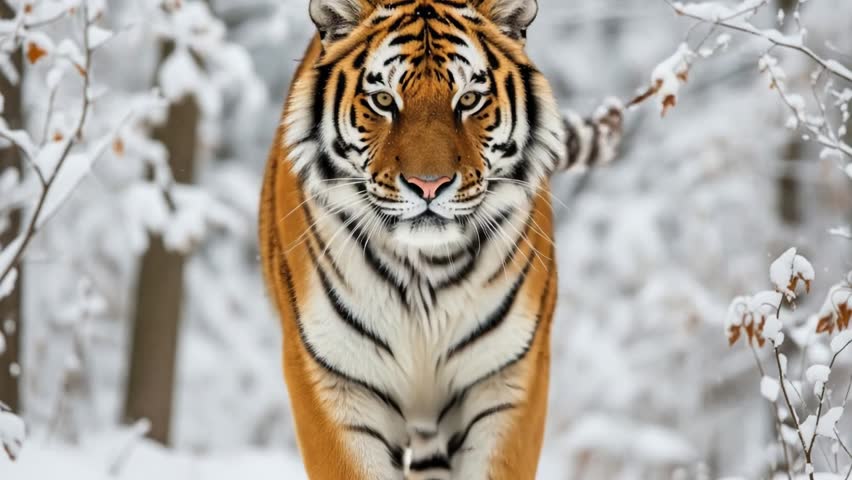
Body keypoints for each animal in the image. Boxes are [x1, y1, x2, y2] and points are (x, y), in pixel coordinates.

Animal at [258, 1, 623, 478]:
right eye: (383, 101)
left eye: (468, 99)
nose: (428, 185)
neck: (423, 270)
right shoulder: (333, 381)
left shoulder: (506, 379)